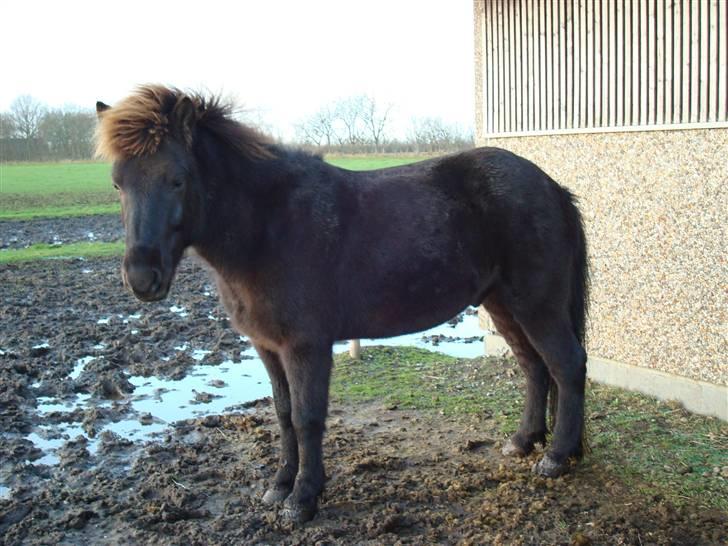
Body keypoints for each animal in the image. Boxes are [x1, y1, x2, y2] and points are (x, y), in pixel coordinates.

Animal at [94, 86, 588, 524]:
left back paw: (556, 457)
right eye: (117, 184)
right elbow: (283, 414)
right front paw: (279, 486)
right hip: (504, 305)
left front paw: (303, 500)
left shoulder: (306, 346)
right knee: (534, 367)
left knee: (566, 364)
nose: (142, 279)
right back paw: (523, 442)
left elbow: (307, 418)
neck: (269, 227)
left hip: (536, 304)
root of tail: (551, 186)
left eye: (177, 178)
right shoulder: (266, 346)